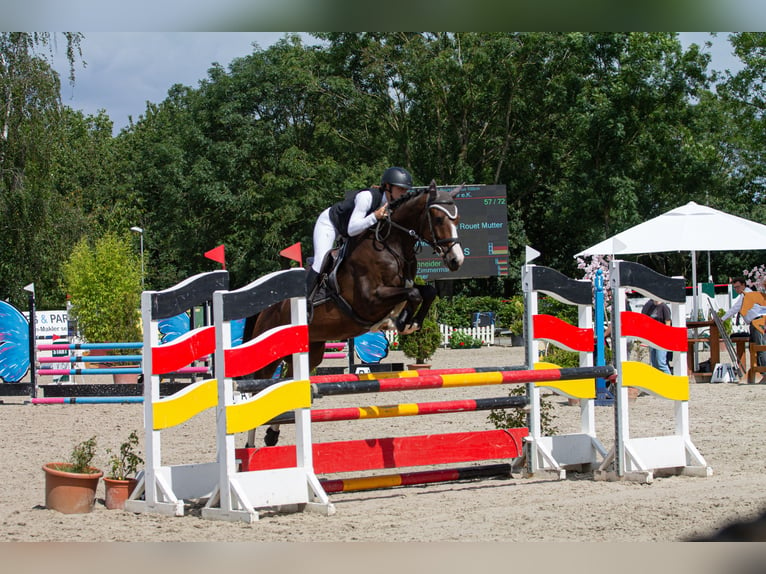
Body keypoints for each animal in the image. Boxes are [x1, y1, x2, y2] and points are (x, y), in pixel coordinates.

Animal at [243, 180, 464, 446]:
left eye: (457, 218)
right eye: (438, 218)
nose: (456, 260)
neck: (392, 246)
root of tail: (266, 304)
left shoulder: (401, 287)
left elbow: (426, 291)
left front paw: (408, 322)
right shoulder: (369, 300)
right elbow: (413, 294)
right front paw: (400, 321)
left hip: (311, 351)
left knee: (288, 382)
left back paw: (272, 434)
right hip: (270, 351)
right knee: (258, 387)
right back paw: (250, 444)